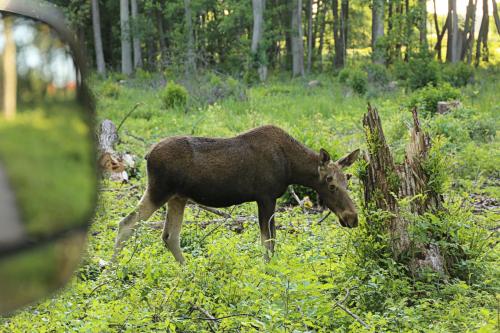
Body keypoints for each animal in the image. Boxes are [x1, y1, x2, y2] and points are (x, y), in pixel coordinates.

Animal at [114, 124, 360, 262]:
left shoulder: (268, 199)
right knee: (126, 223)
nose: (352, 218)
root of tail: (147, 155)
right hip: (159, 190)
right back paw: (113, 271)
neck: (291, 167)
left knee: (169, 236)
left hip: (177, 197)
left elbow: (271, 242)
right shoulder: (265, 197)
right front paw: (268, 272)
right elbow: (268, 242)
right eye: (330, 185)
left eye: (347, 181)